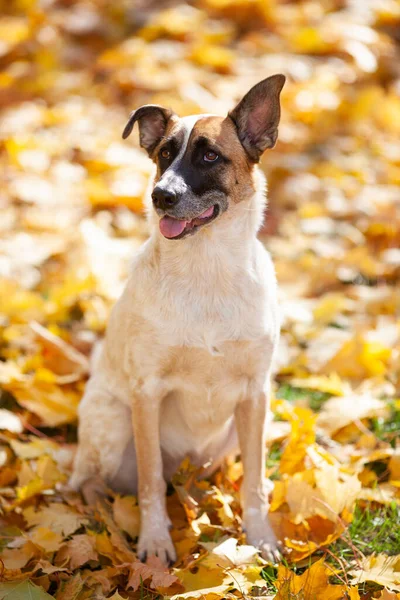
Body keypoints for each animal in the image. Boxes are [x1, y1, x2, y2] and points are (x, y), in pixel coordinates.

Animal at [70, 72, 286, 564]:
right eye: (164, 154)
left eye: (209, 155)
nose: (160, 196)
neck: (206, 271)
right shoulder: (146, 392)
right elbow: (150, 482)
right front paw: (154, 542)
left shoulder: (255, 393)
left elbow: (254, 484)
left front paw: (260, 537)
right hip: (112, 421)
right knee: (90, 481)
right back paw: (103, 520)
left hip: (241, 429)